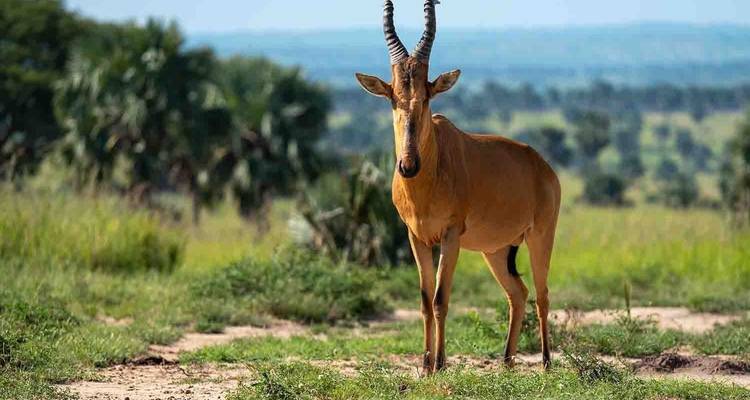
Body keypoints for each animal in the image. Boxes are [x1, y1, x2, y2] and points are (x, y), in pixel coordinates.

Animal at [355, 0, 561, 374]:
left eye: (427, 97)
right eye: (393, 97)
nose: (408, 166)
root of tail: (541, 165)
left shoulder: (450, 236)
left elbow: (441, 299)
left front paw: (439, 363)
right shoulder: (416, 237)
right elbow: (424, 300)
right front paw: (424, 365)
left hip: (541, 236)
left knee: (542, 294)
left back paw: (546, 363)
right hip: (496, 250)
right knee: (518, 292)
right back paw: (506, 361)